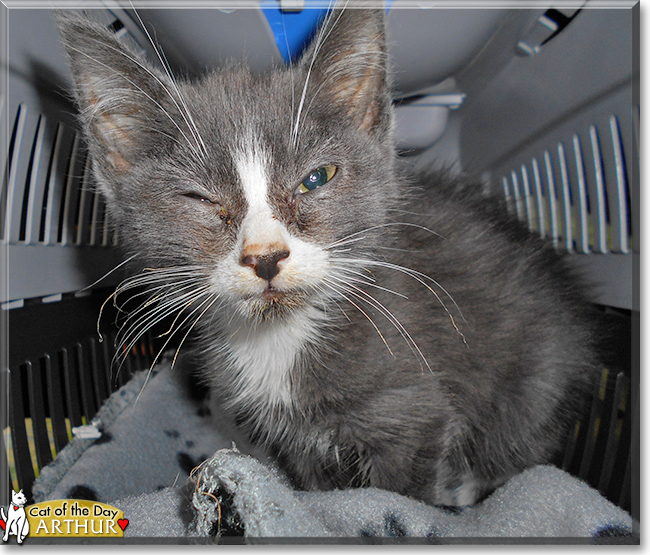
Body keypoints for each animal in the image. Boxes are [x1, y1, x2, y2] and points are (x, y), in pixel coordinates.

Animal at [55, 8, 596, 506]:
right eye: (200, 199)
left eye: (316, 178)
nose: (265, 256)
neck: (282, 336)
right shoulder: (292, 439)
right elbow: (317, 488)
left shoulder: (410, 412)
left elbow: (398, 496)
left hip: (536, 386)